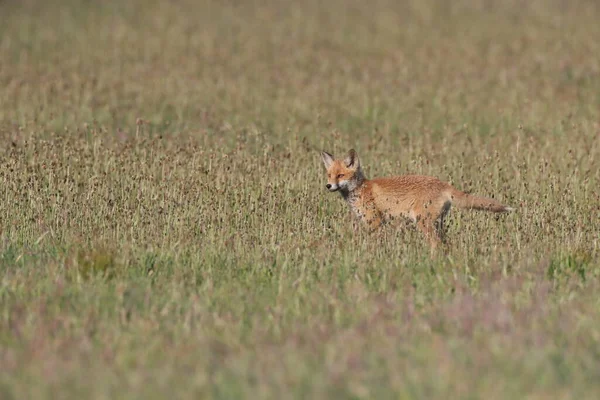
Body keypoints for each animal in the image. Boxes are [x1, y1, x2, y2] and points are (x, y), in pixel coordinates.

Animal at [322, 149, 512, 250]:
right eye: (329, 175)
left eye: (341, 175)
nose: (328, 186)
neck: (361, 189)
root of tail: (442, 183)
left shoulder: (374, 221)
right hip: (437, 223)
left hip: (423, 223)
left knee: (437, 245)